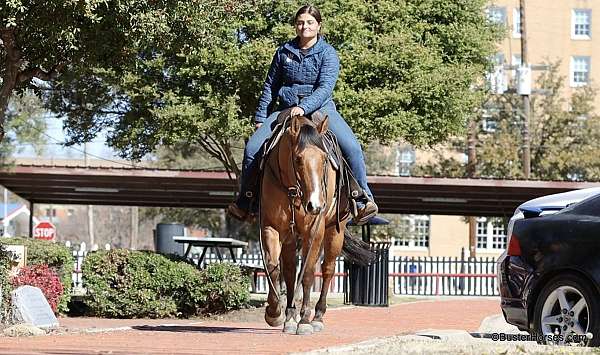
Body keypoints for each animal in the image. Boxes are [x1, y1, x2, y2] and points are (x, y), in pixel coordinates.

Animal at [262, 112, 372, 336]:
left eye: (324, 160)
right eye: (297, 158)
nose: (315, 205)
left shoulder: (314, 231)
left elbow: (309, 273)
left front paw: (304, 321)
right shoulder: (271, 227)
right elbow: (273, 268)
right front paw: (275, 313)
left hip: (334, 231)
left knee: (328, 268)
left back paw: (318, 317)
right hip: (290, 237)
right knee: (289, 271)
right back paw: (290, 317)